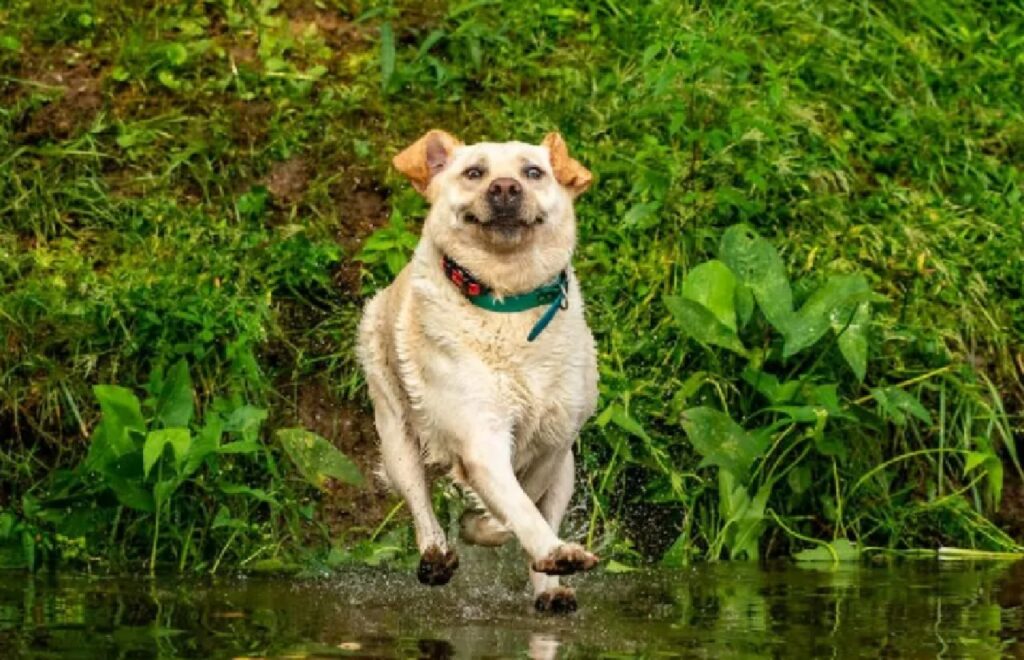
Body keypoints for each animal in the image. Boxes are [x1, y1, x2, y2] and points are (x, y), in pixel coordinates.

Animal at [358, 129, 598, 613]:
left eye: (533, 171)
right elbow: (516, 507)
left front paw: (537, 553)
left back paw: (551, 589)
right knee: (419, 500)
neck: (508, 302)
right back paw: (436, 555)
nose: (505, 187)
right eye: (474, 172)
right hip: (395, 434)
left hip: (567, 469)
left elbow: (526, 505)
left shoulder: (555, 443)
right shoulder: (479, 438)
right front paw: (493, 530)